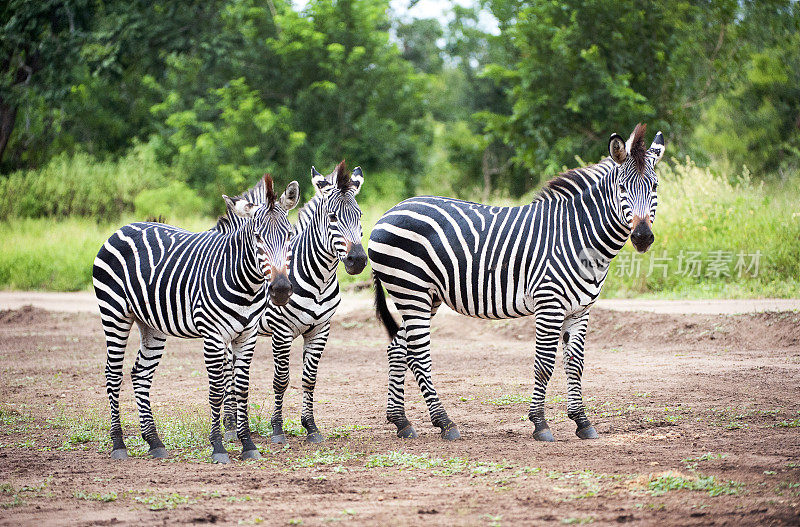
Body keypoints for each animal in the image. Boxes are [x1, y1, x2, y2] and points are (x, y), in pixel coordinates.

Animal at [94, 176, 300, 462]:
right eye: (257, 237)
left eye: (290, 235)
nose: (280, 289)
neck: (244, 281)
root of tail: (123, 227)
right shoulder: (213, 336)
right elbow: (217, 391)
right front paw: (218, 447)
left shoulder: (247, 336)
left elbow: (241, 388)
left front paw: (248, 445)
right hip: (114, 314)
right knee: (113, 375)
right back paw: (118, 444)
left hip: (151, 325)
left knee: (140, 374)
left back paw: (154, 442)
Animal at [219, 161, 368, 446]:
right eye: (332, 217)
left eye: (360, 216)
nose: (357, 260)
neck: (319, 279)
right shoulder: (281, 330)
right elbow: (281, 379)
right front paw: (277, 429)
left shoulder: (321, 329)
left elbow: (309, 379)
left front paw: (311, 427)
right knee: (229, 375)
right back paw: (231, 427)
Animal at [368, 124, 664, 442]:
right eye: (622, 188)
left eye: (655, 187)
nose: (643, 237)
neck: (578, 235)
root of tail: (389, 211)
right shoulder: (549, 304)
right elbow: (544, 365)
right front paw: (540, 424)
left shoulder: (580, 310)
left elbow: (575, 365)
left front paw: (582, 422)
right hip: (411, 290)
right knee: (419, 356)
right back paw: (445, 423)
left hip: (425, 297)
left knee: (398, 349)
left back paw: (401, 421)